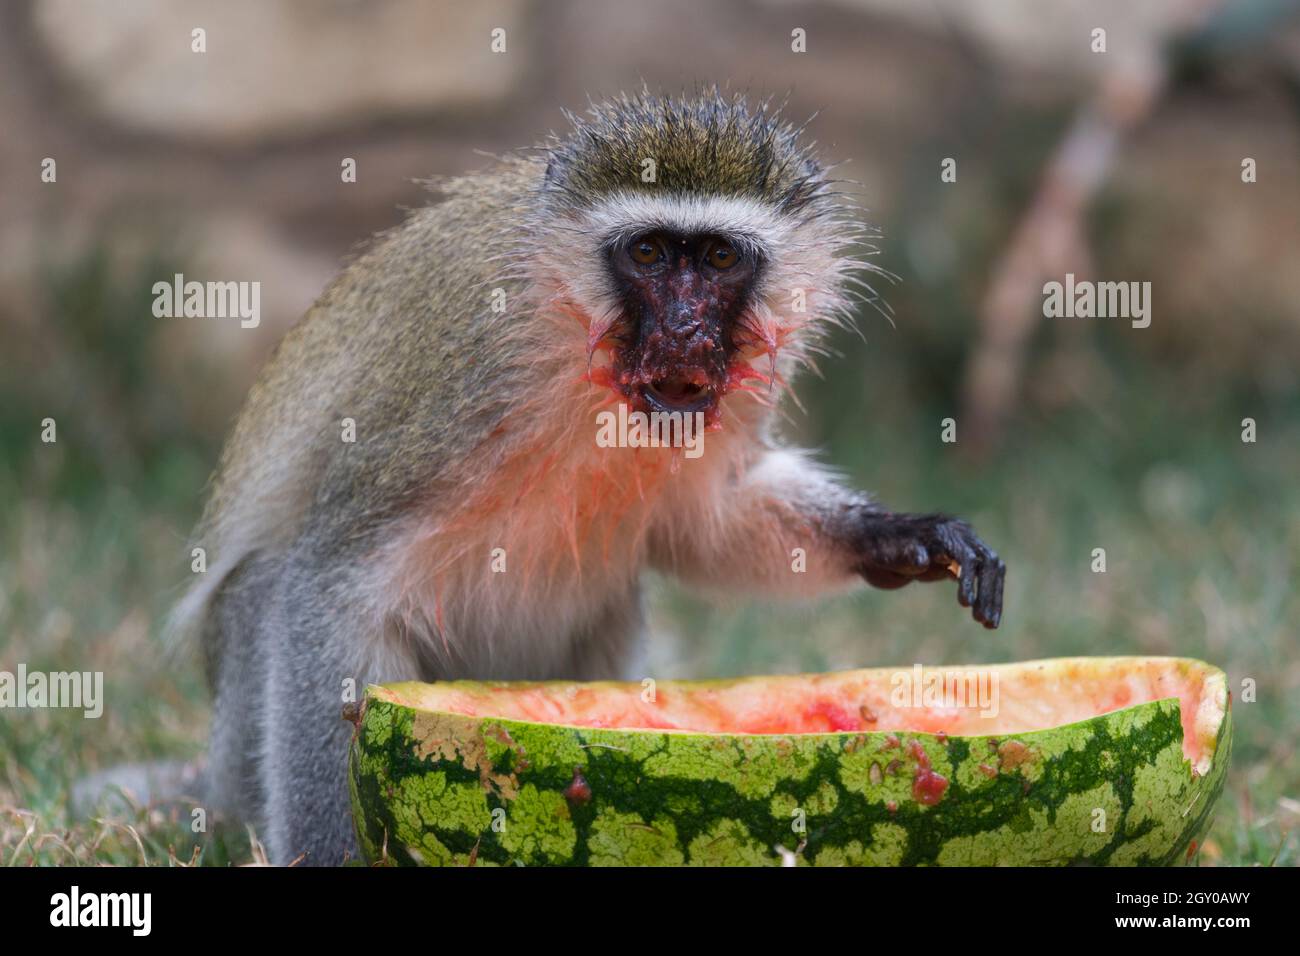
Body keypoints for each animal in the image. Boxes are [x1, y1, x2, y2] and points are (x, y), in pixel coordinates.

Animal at [172, 91, 1003, 868]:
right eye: (649, 253)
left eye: (718, 260)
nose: (683, 331)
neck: (582, 346)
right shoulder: (462, 379)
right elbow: (329, 588)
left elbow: (706, 526)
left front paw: (898, 537)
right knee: (270, 588)